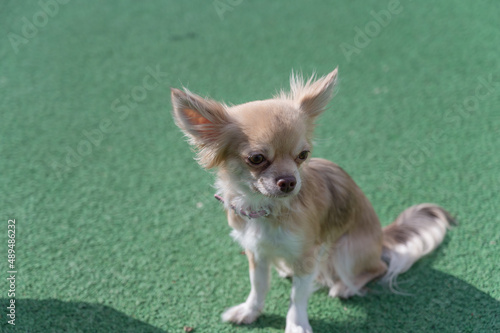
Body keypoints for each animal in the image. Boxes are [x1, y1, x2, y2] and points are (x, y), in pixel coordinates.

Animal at [171, 68, 454, 332]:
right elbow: (258, 286)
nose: (289, 181)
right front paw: (250, 311)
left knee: (377, 269)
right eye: (256, 159)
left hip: (345, 250)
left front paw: (296, 325)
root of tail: (382, 238)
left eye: (303, 155)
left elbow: (297, 296)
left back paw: (346, 287)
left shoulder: (308, 256)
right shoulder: (256, 251)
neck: (266, 208)